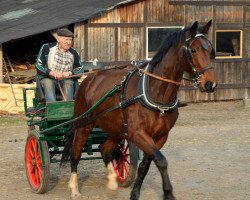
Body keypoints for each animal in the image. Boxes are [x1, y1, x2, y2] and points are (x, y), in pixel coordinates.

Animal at [60, 19, 217, 199]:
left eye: (211, 50)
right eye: (193, 50)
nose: (210, 84)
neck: (155, 91)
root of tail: (89, 78)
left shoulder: (160, 136)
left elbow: (145, 165)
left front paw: (134, 192)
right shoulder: (138, 133)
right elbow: (161, 161)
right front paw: (168, 193)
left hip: (117, 129)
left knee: (105, 148)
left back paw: (112, 182)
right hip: (84, 124)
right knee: (75, 153)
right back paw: (74, 188)